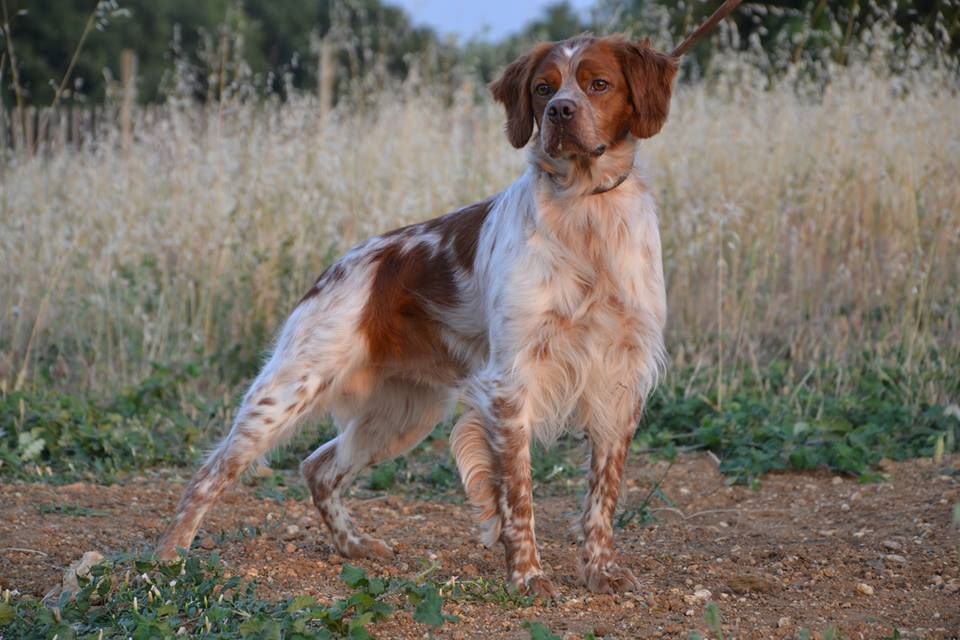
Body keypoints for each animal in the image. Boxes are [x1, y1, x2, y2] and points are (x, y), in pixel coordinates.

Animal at [159, 33, 676, 596]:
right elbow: (518, 494)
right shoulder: (511, 381)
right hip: (291, 389)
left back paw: (355, 546)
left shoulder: (620, 379)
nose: (561, 111)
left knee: (318, 466)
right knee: (210, 474)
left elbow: (603, 494)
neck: (585, 215)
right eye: (543, 88)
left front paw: (601, 569)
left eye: (598, 84)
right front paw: (527, 576)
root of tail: (337, 267)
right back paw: (166, 559)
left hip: (402, 415)